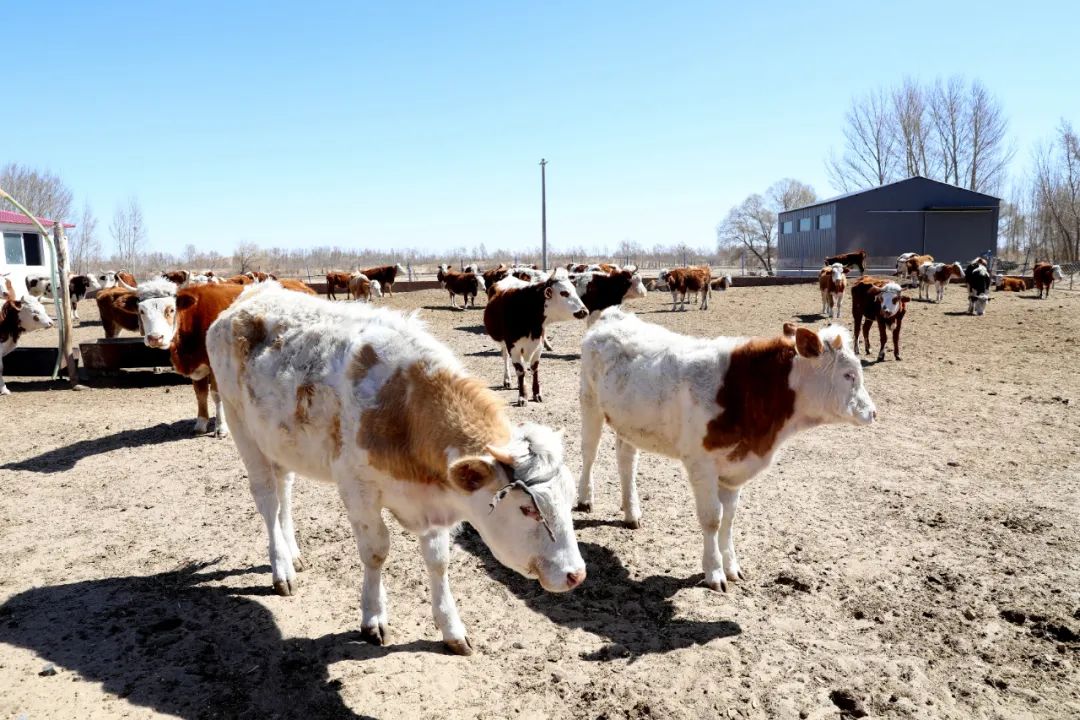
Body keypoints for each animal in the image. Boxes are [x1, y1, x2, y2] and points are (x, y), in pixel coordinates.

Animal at [205, 284, 587, 656]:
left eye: (569, 501)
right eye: (527, 509)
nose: (577, 575)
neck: (403, 406)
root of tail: (249, 296)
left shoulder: (432, 497)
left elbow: (438, 561)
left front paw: (452, 628)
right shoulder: (357, 489)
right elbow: (375, 552)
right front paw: (373, 617)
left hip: (279, 441)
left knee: (284, 491)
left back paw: (293, 553)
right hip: (242, 428)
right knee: (268, 500)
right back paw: (281, 568)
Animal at [488, 268, 591, 405]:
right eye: (564, 293)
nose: (584, 311)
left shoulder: (539, 345)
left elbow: (534, 368)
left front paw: (536, 393)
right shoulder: (513, 347)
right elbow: (520, 370)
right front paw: (522, 396)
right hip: (503, 342)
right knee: (505, 357)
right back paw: (507, 380)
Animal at [578, 308, 872, 591]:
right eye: (849, 375)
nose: (873, 412)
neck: (743, 391)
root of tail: (614, 315)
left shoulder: (735, 466)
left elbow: (729, 518)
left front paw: (731, 567)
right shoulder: (700, 463)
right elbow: (712, 518)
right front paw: (714, 572)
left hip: (629, 421)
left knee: (626, 459)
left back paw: (631, 512)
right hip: (589, 401)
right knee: (589, 452)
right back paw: (584, 499)